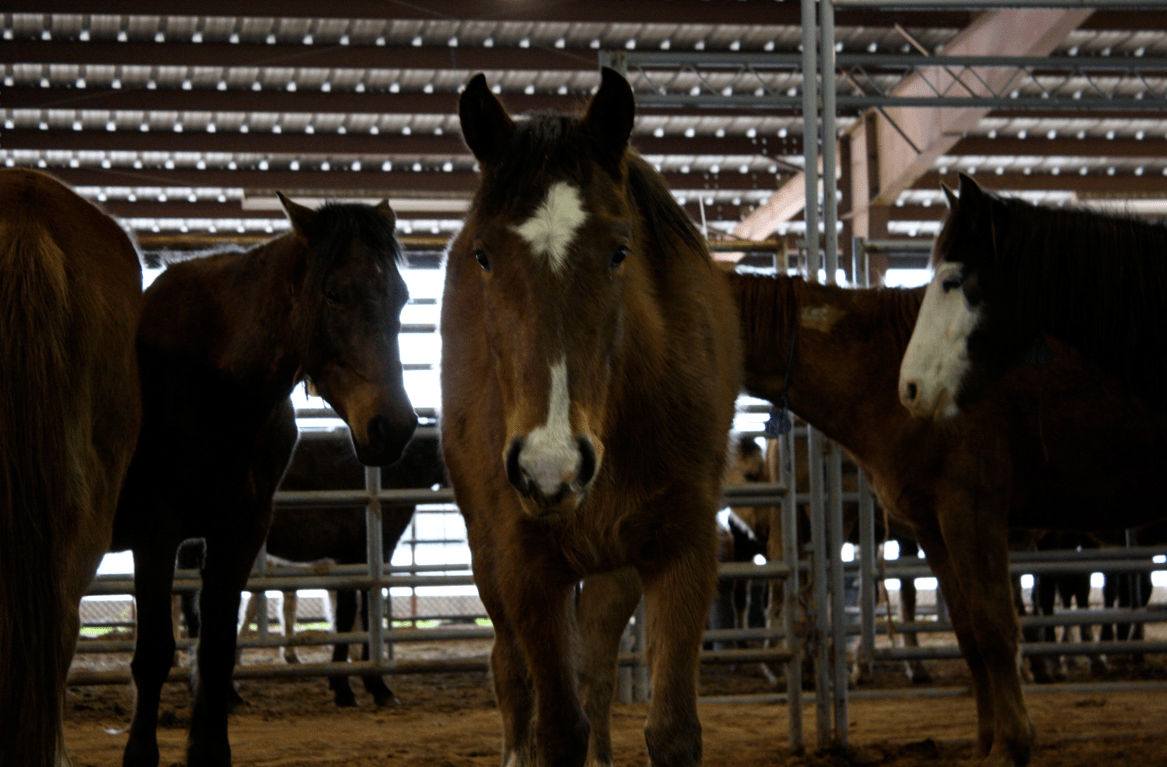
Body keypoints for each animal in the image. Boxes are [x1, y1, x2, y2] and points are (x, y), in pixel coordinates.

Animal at [110, 195, 418, 767]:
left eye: (403, 296)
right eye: (333, 292)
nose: (394, 427)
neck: (211, 384)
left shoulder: (240, 533)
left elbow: (216, 650)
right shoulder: (156, 534)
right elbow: (155, 653)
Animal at [440, 67, 742, 767]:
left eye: (619, 251)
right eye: (483, 256)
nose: (549, 469)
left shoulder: (682, 550)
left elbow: (672, 731)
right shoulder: (527, 566)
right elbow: (556, 728)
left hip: (614, 568)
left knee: (597, 669)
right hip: (490, 562)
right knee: (512, 675)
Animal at [729, 267, 1167, 767]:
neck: (881, 361)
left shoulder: (968, 513)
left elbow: (994, 627)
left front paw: (1009, 744)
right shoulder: (941, 527)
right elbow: (981, 628)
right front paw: (996, 739)